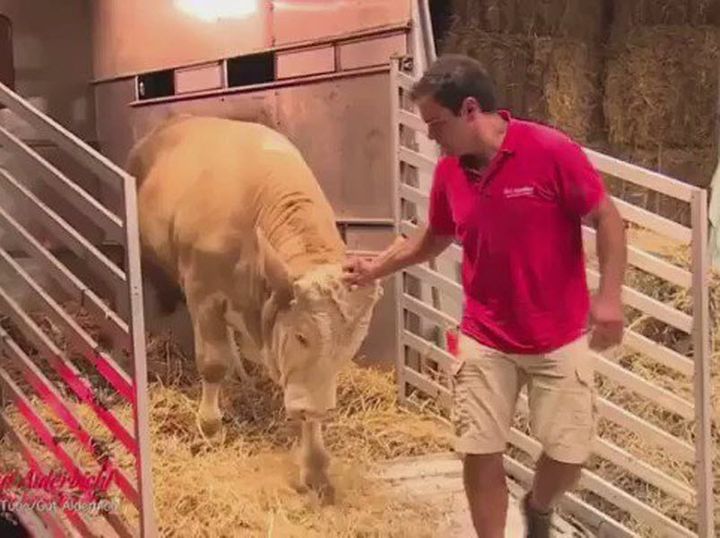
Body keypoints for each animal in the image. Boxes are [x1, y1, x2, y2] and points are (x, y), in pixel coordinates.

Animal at [125, 115, 382, 500]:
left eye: (350, 347)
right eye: (302, 336)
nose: (319, 406)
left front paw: (315, 467)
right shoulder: (203, 291)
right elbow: (212, 363)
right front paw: (210, 427)